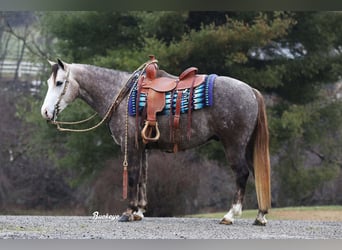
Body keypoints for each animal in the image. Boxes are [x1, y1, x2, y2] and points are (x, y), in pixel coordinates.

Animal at [40, 58, 272, 225]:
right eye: (48, 82)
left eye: (59, 83)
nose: (45, 112)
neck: (122, 95)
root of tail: (251, 91)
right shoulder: (143, 147)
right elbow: (143, 177)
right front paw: (139, 211)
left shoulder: (131, 146)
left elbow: (133, 176)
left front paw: (128, 212)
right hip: (247, 147)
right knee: (256, 174)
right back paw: (260, 216)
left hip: (234, 145)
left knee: (242, 174)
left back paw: (230, 215)